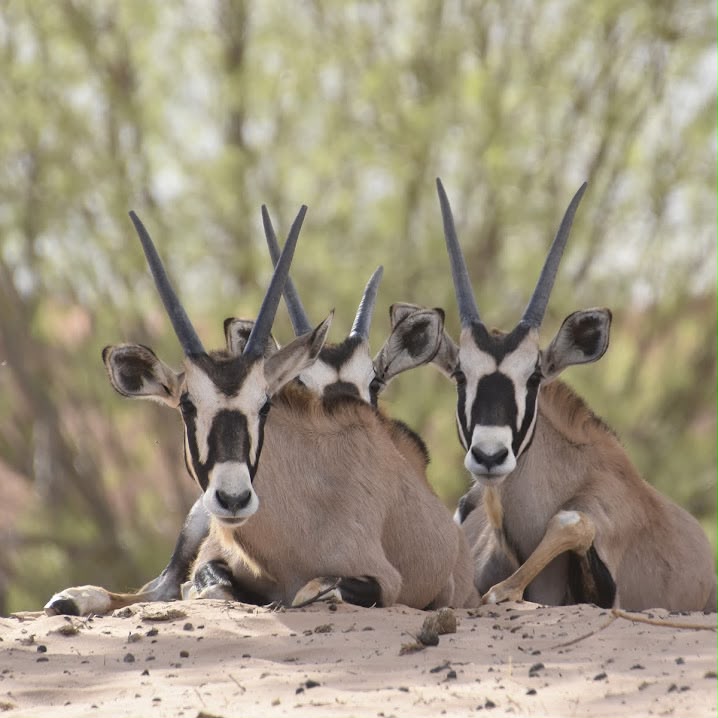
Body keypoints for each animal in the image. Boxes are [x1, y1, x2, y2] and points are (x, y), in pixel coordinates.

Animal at [45, 206, 477, 617]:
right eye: (187, 404)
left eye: (265, 403)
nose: (234, 499)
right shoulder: (212, 556)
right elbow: (208, 584)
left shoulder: (385, 582)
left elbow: (316, 590)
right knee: (156, 587)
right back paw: (72, 597)